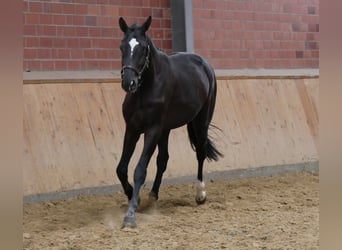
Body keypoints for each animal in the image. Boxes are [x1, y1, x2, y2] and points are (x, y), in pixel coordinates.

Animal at [115, 16, 222, 229]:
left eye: (143, 48)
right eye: (122, 46)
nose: (128, 83)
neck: (146, 87)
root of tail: (205, 65)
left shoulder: (152, 130)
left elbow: (140, 170)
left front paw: (130, 215)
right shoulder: (132, 129)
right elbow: (121, 168)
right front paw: (134, 197)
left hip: (200, 122)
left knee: (200, 152)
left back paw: (200, 193)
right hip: (166, 130)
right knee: (163, 159)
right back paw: (153, 196)